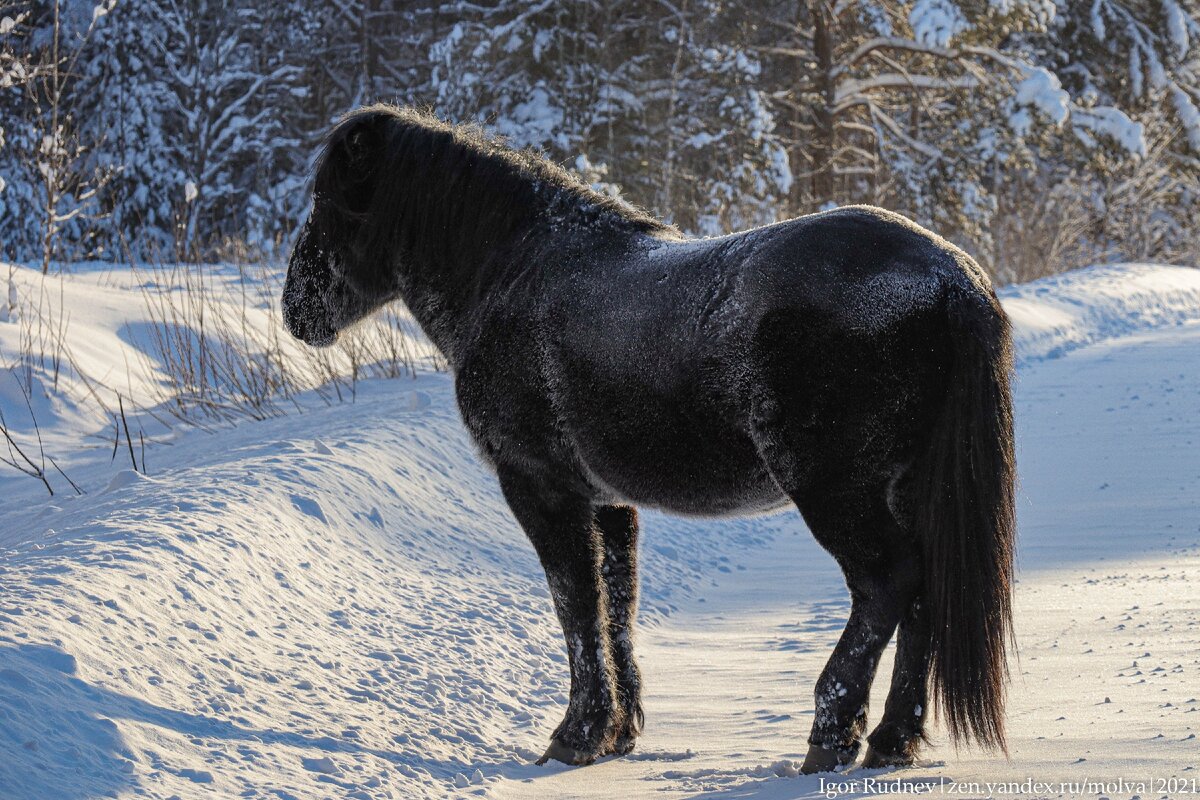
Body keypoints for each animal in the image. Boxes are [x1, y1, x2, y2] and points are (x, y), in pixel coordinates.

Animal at [280, 103, 1012, 772]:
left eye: (331, 201)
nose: (295, 310)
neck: (512, 273)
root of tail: (950, 278)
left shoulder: (541, 488)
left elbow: (576, 608)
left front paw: (575, 736)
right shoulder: (608, 501)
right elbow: (616, 607)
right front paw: (618, 733)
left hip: (837, 492)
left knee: (889, 584)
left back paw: (832, 736)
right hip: (905, 487)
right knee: (922, 594)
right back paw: (892, 740)